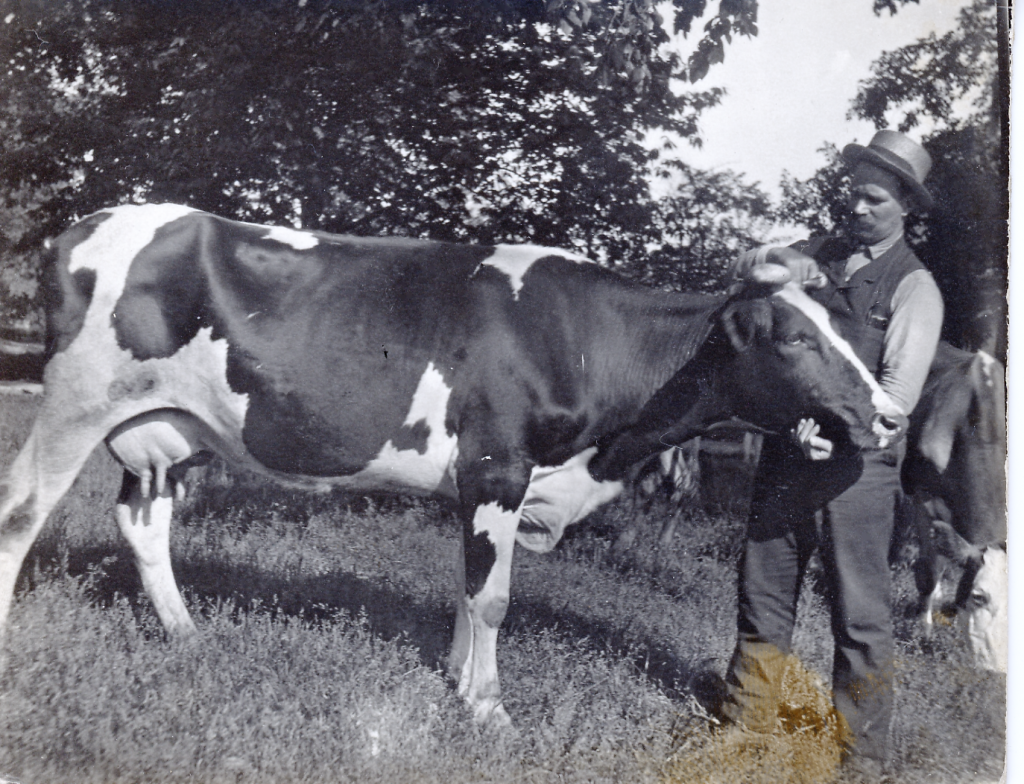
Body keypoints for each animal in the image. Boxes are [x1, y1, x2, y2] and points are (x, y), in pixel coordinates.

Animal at [0, 203, 906, 726]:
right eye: (794, 338)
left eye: (850, 327)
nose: (891, 414)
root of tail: (91, 220)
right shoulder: (498, 465)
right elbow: (495, 596)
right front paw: (489, 708)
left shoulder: (487, 483)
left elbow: (471, 589)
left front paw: (457, 678)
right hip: (76, 400)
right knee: (21, 510)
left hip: (163, 426)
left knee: (143, 522)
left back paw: (186, 633)